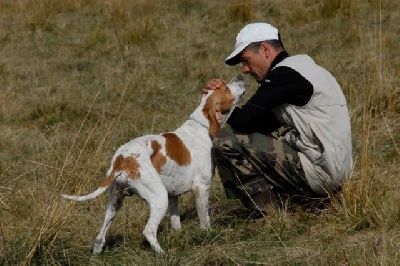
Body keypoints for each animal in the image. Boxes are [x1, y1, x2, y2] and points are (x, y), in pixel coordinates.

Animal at [61, 75, 245, 254]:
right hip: (159, 197)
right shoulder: (201, 189)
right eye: (226, 88)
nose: (240, 76)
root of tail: (122, 159)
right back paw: (162, 254)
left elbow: (176, 224)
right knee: (148, 231)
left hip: (115, 203)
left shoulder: (173, 196)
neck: (202, 126)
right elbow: (205, 221)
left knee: (101, 236)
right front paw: (208, 237)